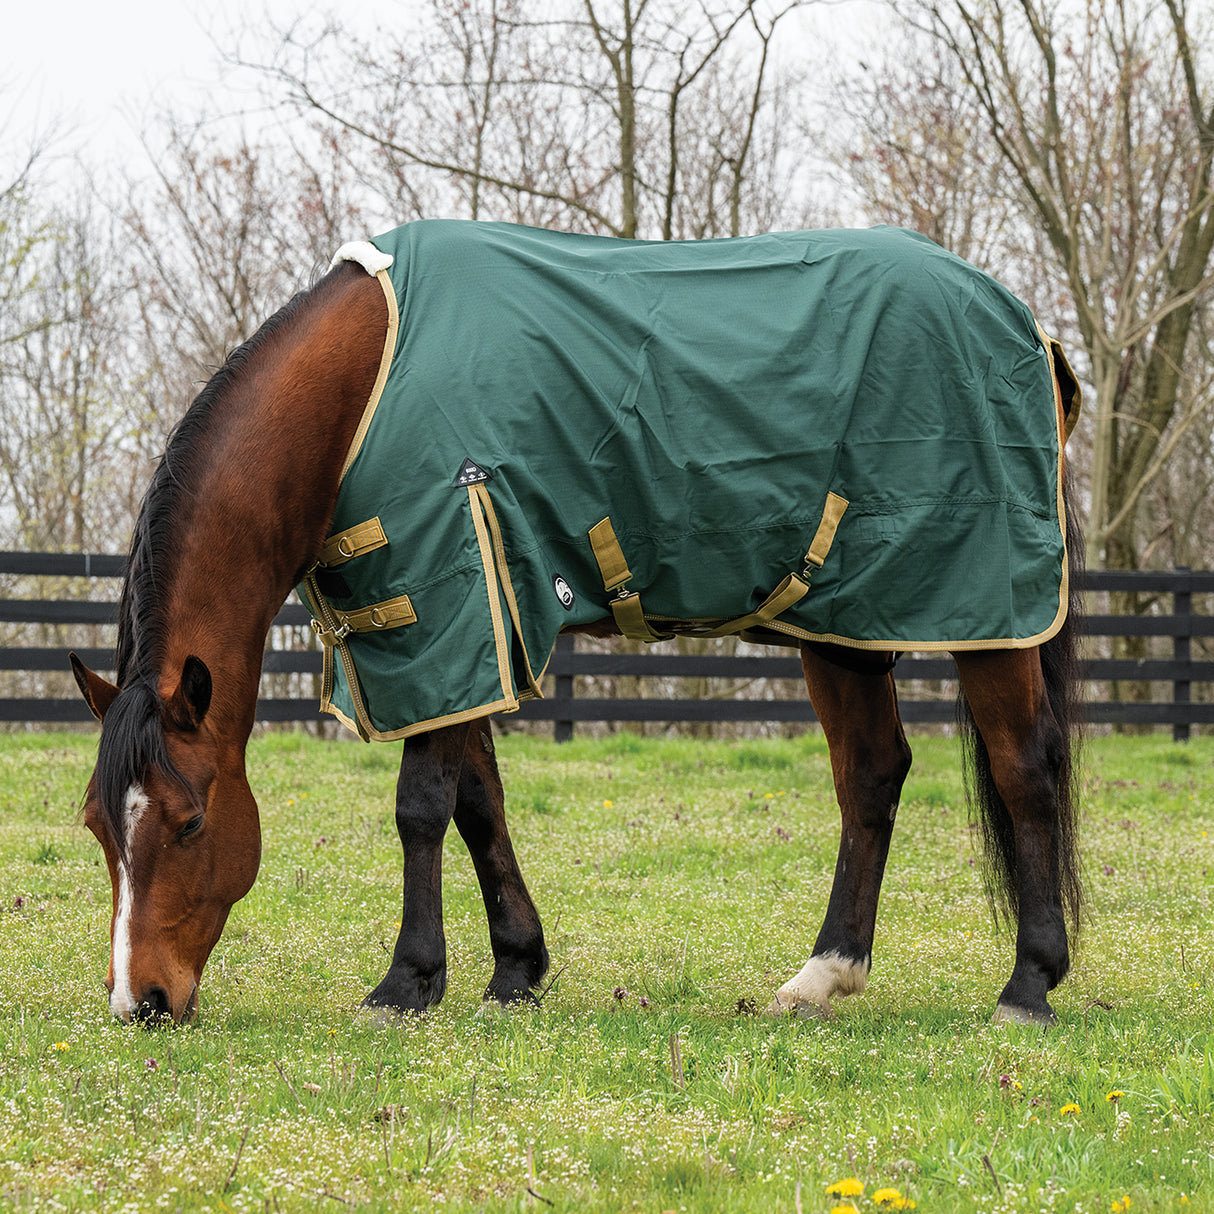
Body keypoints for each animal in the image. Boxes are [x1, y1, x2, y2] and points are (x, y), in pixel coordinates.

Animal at [70, 220, 1084, 1027]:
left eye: (190, 823)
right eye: (96, 828)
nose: (139, 1001)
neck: (362, 389)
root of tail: (1022, 321)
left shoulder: (451, 604)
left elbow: (420, 807)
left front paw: (406, 984)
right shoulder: (457, 637)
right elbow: (477, 803)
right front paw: (515, 970)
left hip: (991, 613)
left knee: (1024, 768)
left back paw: (1028, 985)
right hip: (846, 629)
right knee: (872, 777)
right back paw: (822, 977)